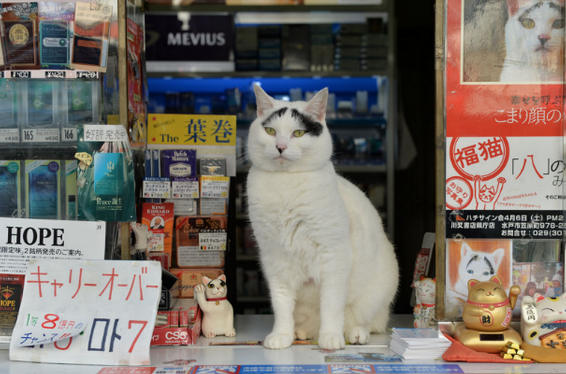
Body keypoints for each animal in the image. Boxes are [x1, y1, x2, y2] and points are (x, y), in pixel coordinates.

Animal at [247, 85, 400, 350]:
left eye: (298, 133)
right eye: (270, 131)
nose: (280, 147)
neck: (284, 183)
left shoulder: (333, 255)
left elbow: (331, 303)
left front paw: (330, 337)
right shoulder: (274, 259)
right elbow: (281, 303)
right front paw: (281, 335)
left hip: (379, 291)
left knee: (365, 320)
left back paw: (353, 334)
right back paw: (301, 333)